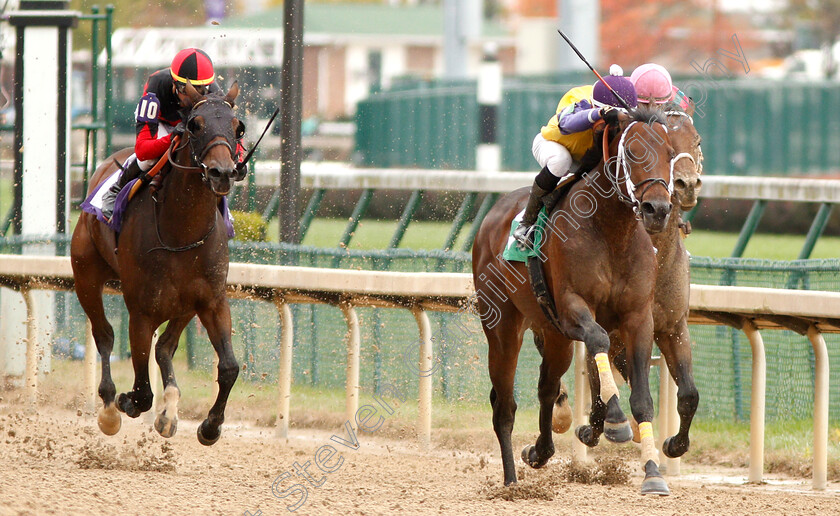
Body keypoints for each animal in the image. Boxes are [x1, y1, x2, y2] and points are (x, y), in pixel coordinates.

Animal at [71, 82, 246, 446]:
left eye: (238, 128)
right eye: (194, 125)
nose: (222, 173)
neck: (181, 231)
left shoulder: (212, 300)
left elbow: (229, 367)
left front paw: (210, 427)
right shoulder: (141, 311)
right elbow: (141, 391)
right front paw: (125, 402)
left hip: (185, 304)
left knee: (165, 346)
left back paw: (168, 413)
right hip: (85, 276)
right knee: (104, 334)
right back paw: (110, 408)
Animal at [472, 106, 676, 496]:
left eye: (671, 154)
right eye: (631, 153)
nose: (656, 209)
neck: (612, 231)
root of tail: (494, 214)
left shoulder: (637, 318)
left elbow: (642, 399)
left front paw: (653, 474)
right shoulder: (572, 308)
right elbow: (597, 338)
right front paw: (615, 421)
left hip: (554, 337)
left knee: (546, 388)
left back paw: (539, 451)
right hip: (502, 327)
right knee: (504, 406)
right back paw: (511, 482)